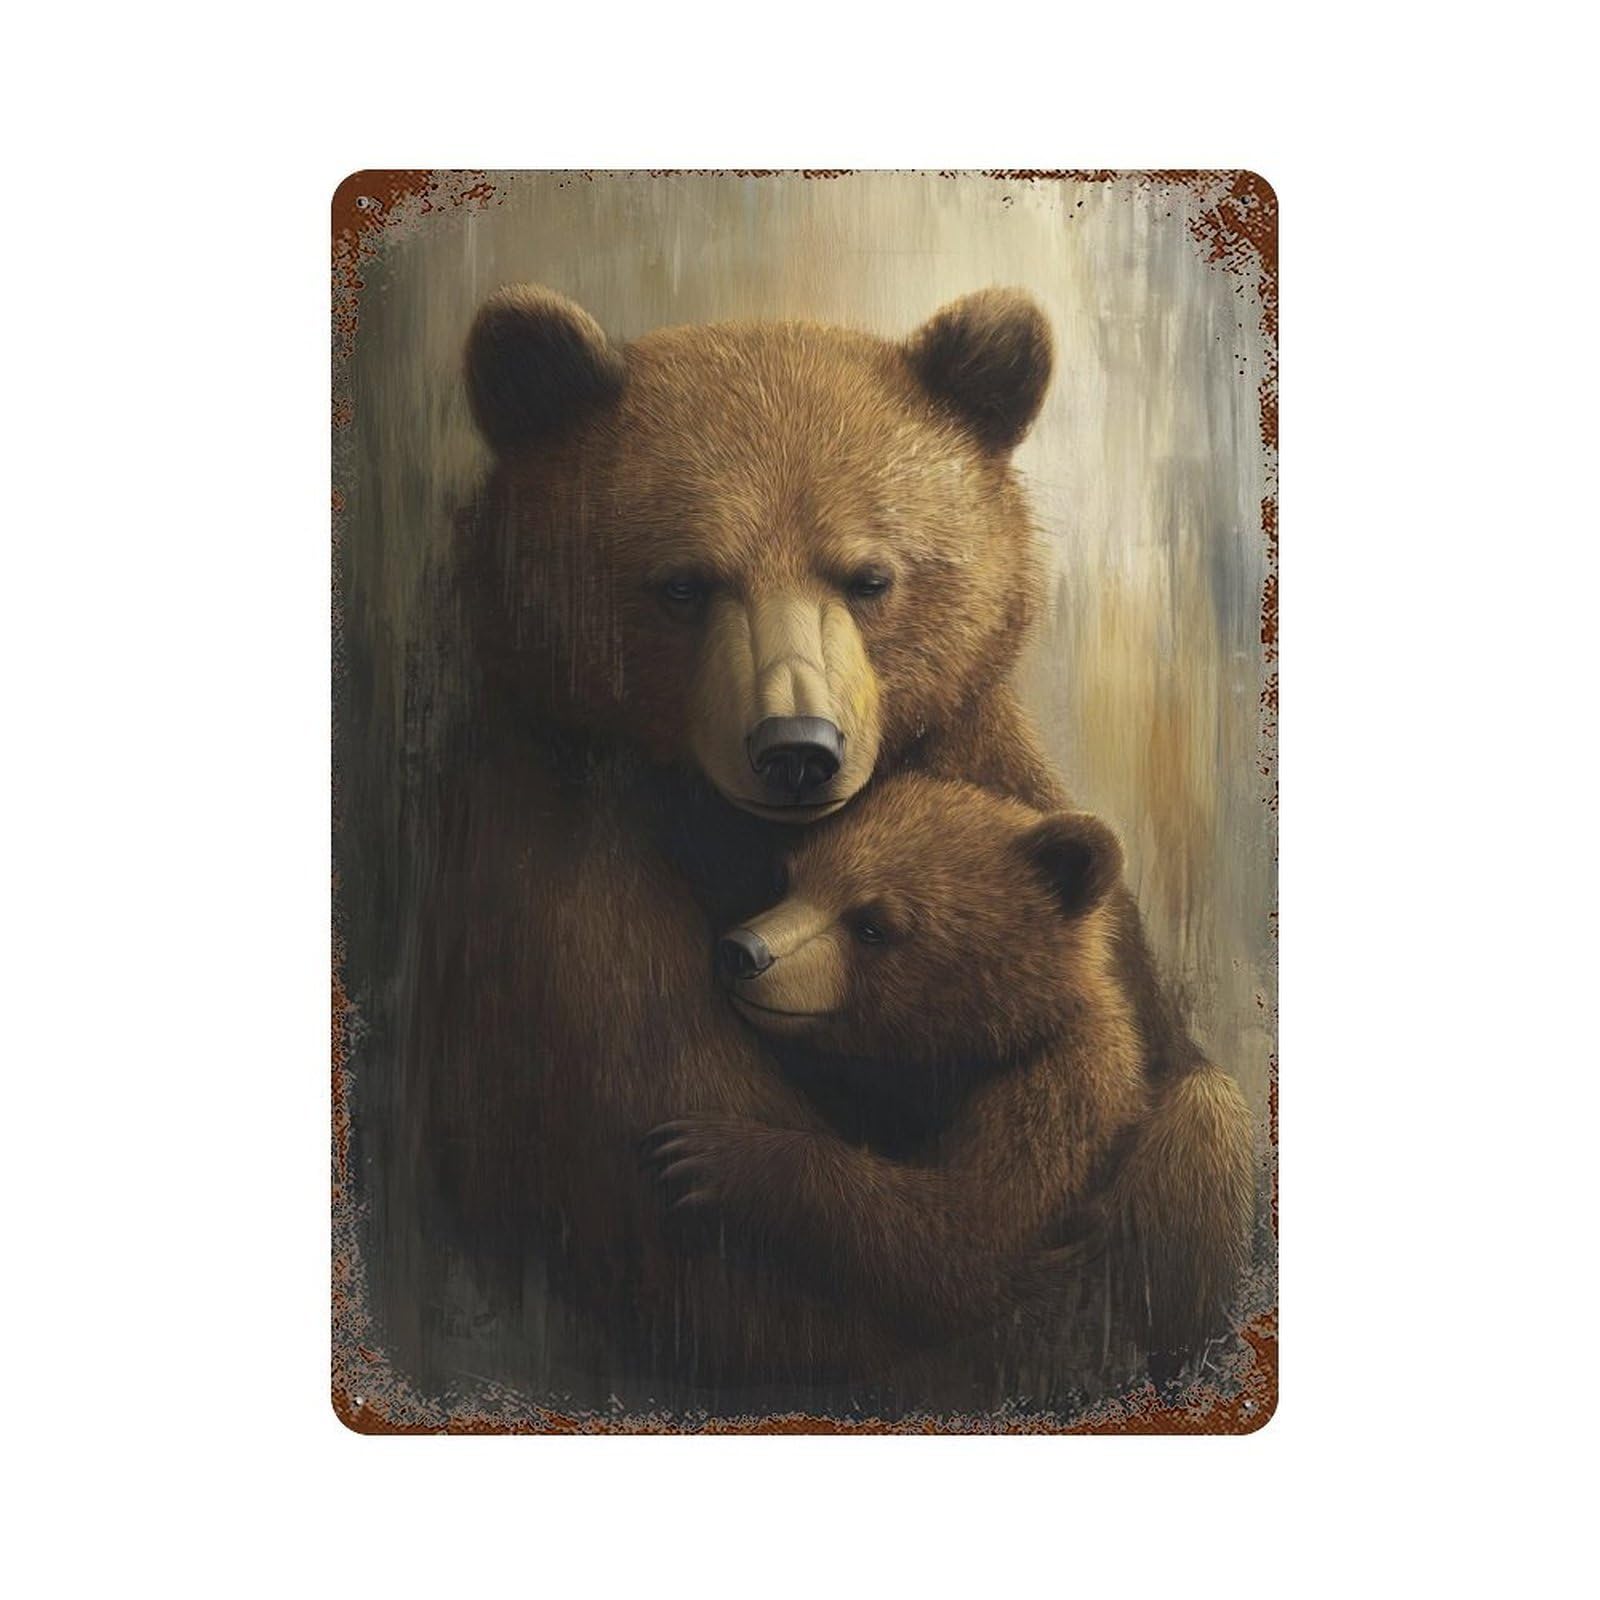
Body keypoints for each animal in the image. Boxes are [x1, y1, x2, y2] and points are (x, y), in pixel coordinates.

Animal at [642, 774, 1255, 1375]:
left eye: (872, 925)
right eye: (788, 880)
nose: (743, 951)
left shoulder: (1058, 1089)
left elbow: (967, 1234)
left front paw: (712, 1153)